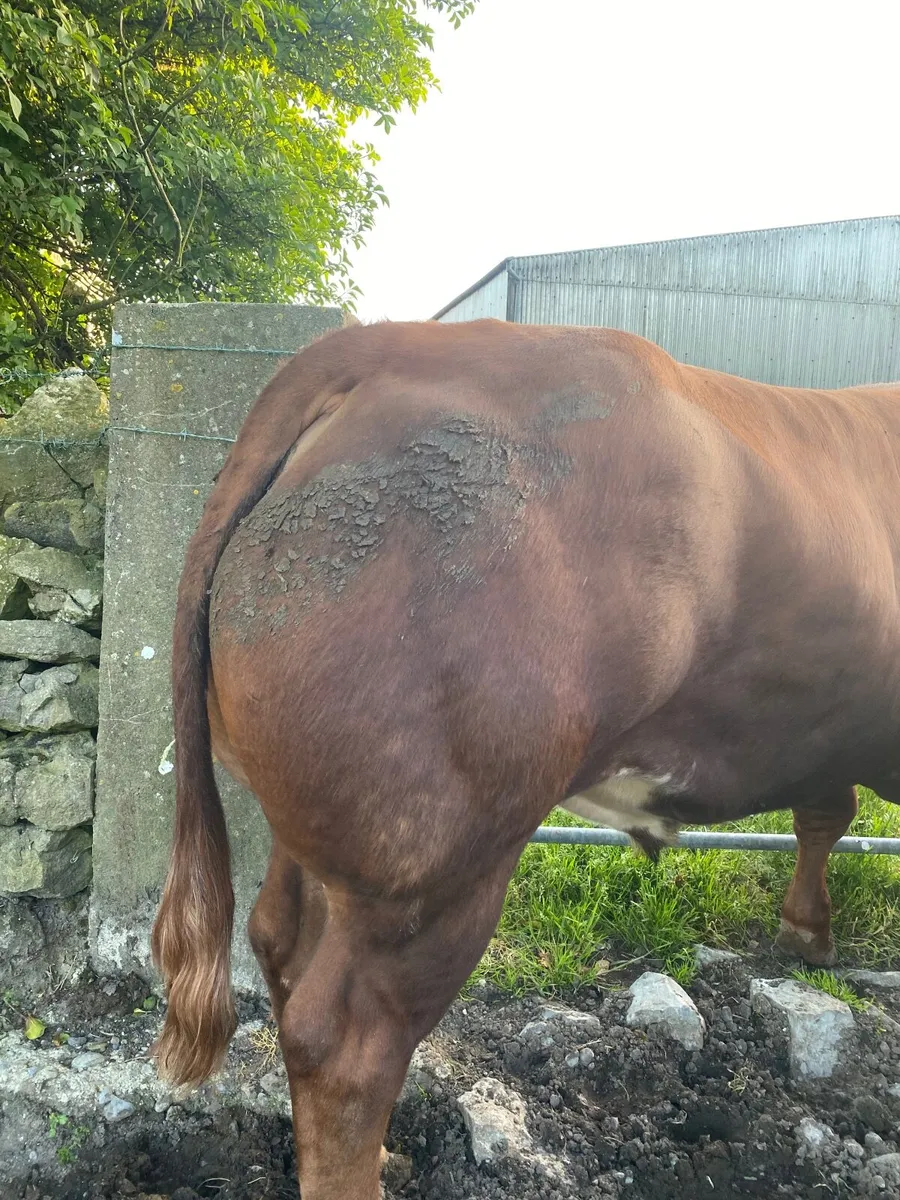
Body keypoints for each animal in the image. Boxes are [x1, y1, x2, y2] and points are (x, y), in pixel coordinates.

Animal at [151, 318, 900, 1199]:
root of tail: (384, 343)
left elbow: (826, 807)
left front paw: (807, 932)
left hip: (330, 834)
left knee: (278, 943)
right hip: (438, 860)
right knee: (346, 1042)